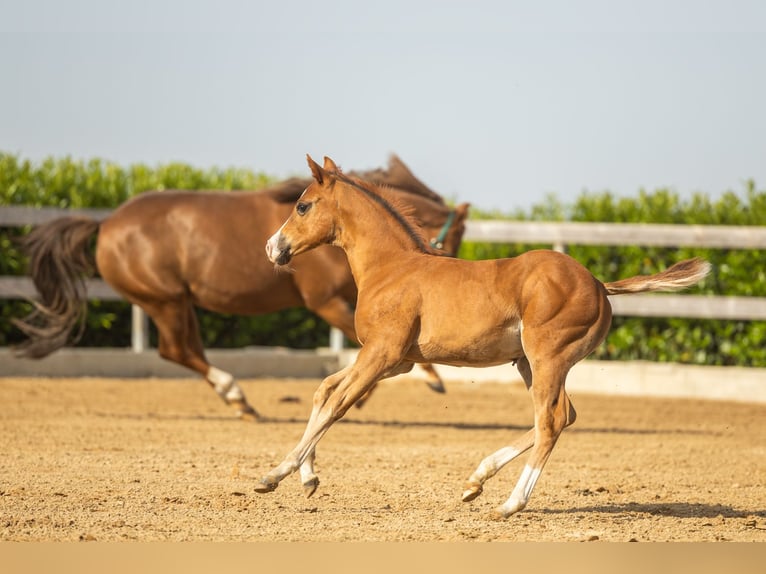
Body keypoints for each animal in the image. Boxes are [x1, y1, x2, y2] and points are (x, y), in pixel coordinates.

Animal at [13, 155, 470, 421]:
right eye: (454, 235)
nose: (442, 262)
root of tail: (105, 223)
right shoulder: (324, 302)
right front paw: (425, 378)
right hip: (164, 301)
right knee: (176, 351)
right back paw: (236, 395)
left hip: (178, 303)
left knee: (187, 350)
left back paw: (239, 400)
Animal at [258, 155, 711, 518]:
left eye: (302, 206)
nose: (271, 247)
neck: (391, 268)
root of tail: (600, 285)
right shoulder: (397, 361)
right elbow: (323, 391)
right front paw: (307, 479)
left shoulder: (382, 354)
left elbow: (337, 405)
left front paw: (274, 475)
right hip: (530, 362)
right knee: (561, 416)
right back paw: (476, 480)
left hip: (547, 358)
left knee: (551, 420)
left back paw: (509, 504)